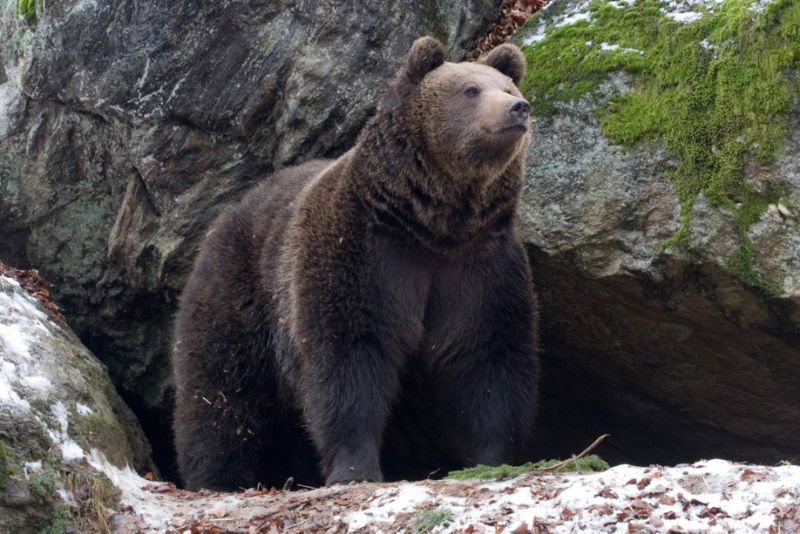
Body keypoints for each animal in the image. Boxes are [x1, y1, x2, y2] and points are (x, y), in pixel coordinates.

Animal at [172, 35, 540, 492]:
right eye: (471, 90)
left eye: (507, 87)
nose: (518, 108)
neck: (435, 223)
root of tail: (231, 211)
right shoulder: (362, 255)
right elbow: (349, 359)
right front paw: (355, 469)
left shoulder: (480, 269)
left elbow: (488, 359)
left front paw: (490, 461)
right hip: (239, 286)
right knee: (219, 389)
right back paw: (215, 477)